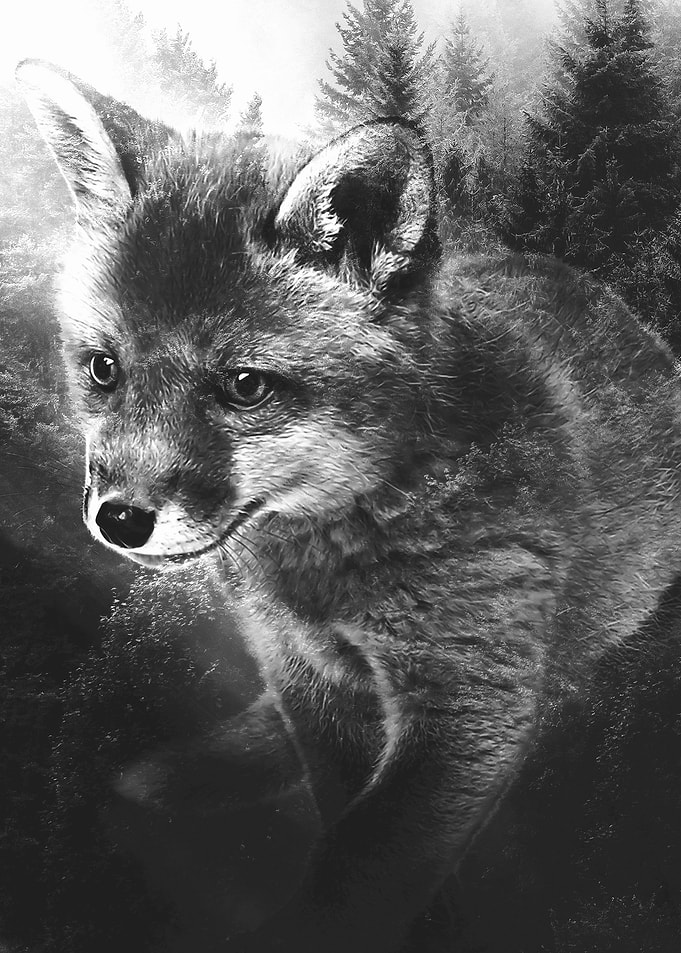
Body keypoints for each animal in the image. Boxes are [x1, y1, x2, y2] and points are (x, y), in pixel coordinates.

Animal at [16, 58, 681, 953]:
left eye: (245, 386)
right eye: (102, 368)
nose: (118, 517)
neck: (327, 572)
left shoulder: (471, 692)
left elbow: (364, 868)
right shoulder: (311, 678)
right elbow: (345, 827)